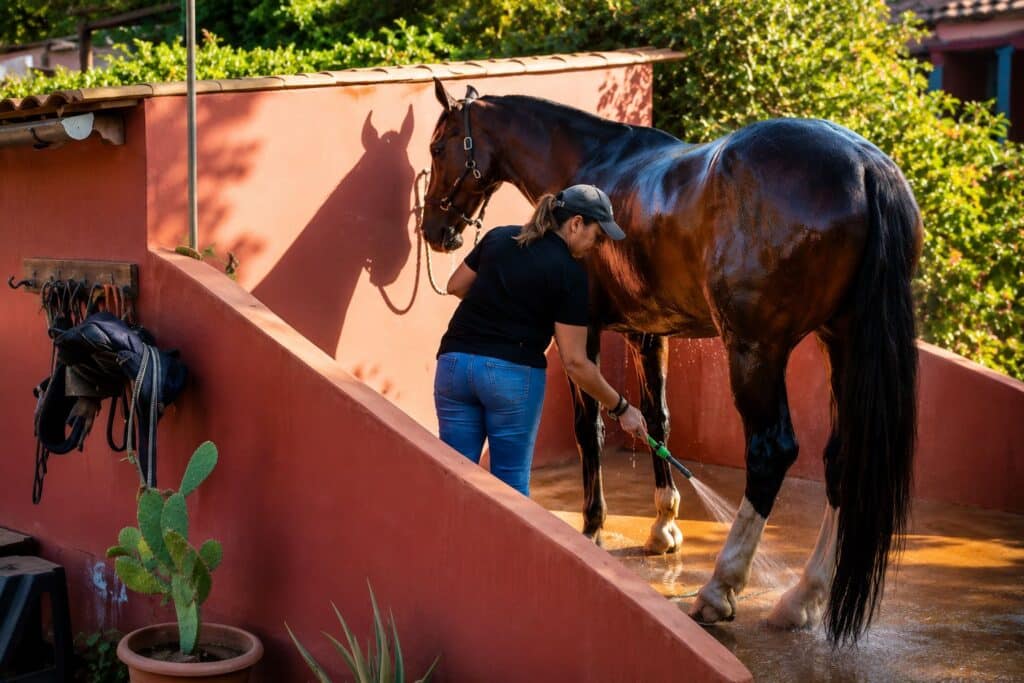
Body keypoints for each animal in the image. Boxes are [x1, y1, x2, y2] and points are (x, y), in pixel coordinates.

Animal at [420, 79, 921, 646]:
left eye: (438, 147)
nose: (435, 229)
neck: (589, 160)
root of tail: (863, 166)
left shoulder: (582, 329)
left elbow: (589, 427)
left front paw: (592, 529)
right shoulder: (649, 332)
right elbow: (656, 419)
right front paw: (663, 527)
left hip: (755, 350)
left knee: (771, 452)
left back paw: (720, 589)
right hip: (842, 341)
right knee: (841, 458)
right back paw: (802, 597)